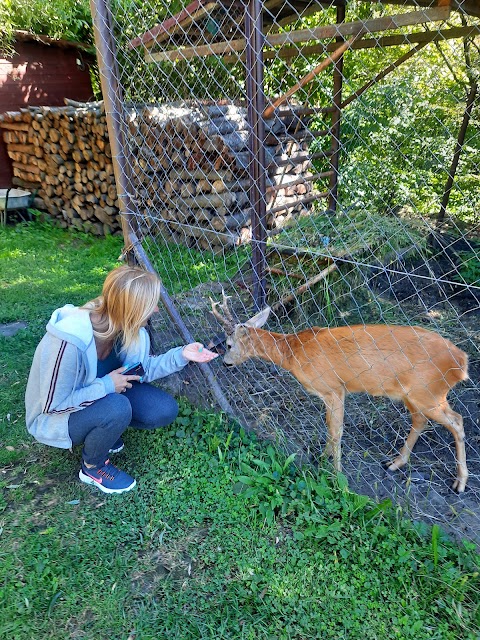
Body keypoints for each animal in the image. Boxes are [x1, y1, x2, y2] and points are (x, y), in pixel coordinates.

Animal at [211, 292, 468, 492]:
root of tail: (461, 361)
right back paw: (395, 463)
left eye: (229, 344)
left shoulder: (333, 387)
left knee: (456, 420)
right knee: (421, 420)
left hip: (429, 392)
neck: (294, 353)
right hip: (415, 395)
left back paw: (460, 483)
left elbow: (336, 431)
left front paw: (338, 478)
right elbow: (328, 426)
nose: (225, 363)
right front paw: (322, 457)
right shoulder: (329, 393)